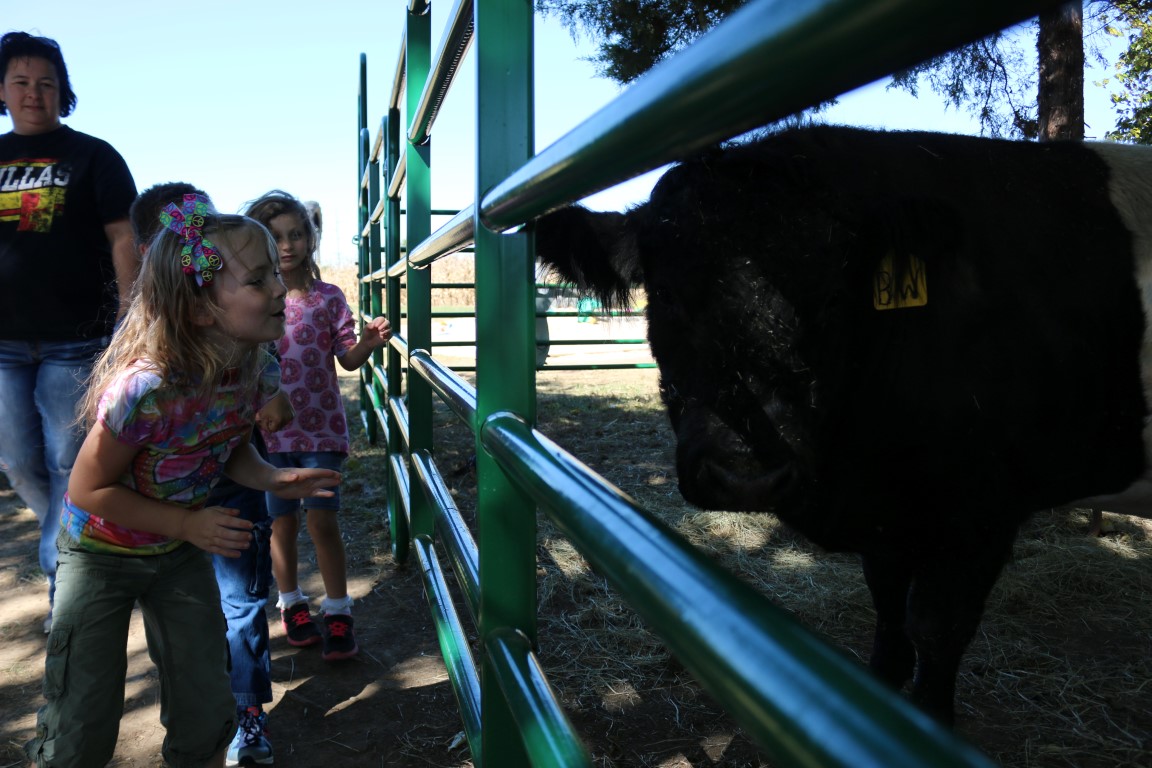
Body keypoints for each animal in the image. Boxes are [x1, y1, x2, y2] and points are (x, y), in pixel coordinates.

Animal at [531, 125, 1152, 724]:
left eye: (833, 299)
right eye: (664, 293)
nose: (744, 476)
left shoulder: (981, 513)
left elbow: (937, 630)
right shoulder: (891, 520)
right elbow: (888, 607)